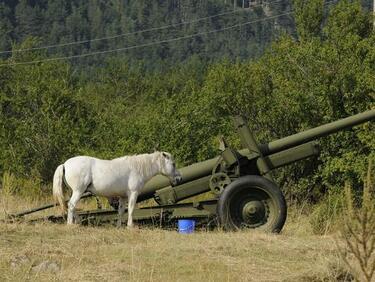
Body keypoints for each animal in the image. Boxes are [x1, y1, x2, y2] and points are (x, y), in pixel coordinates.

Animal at [53, 152, 182, 227]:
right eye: (173, 164)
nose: (179, 178)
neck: (137, 168)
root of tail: (65, 164)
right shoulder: (133, 193)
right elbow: (131, 210)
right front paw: (130, 226)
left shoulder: (123, 197)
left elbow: (121, 211)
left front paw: (119, 226)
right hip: (78, 191)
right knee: (71, 205)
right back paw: (70, 224)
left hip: (75, 192)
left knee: (71, 206)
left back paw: (78, 222)